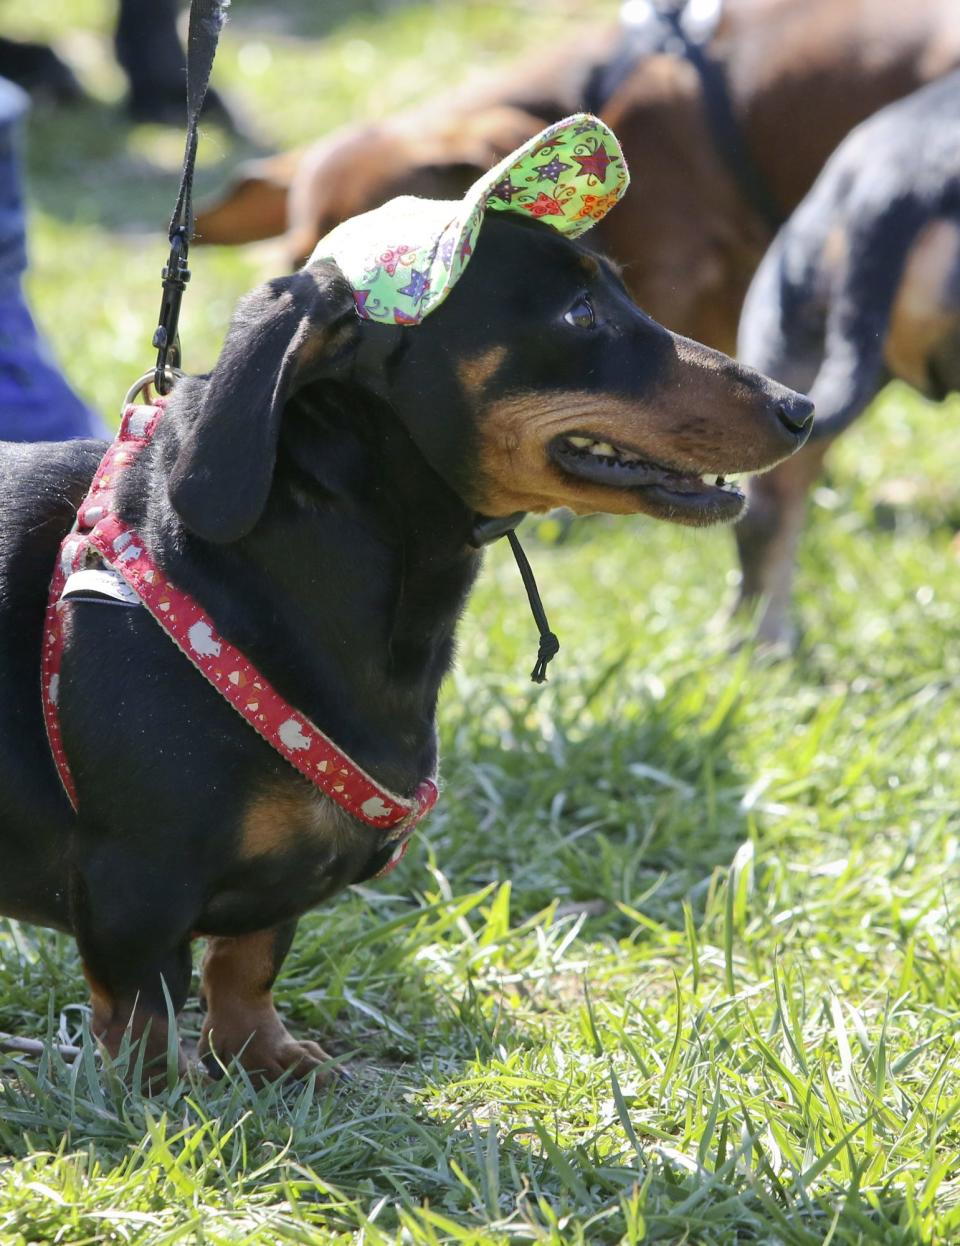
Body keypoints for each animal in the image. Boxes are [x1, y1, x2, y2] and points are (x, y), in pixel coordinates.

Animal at [0, 211, 807, 1081]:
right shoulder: (137, 880)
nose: (802, 407)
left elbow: (247, 966)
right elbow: (144, 1008)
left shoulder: (258, 910)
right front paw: (162, 1091)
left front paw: (265, 1057)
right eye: (579, 312)